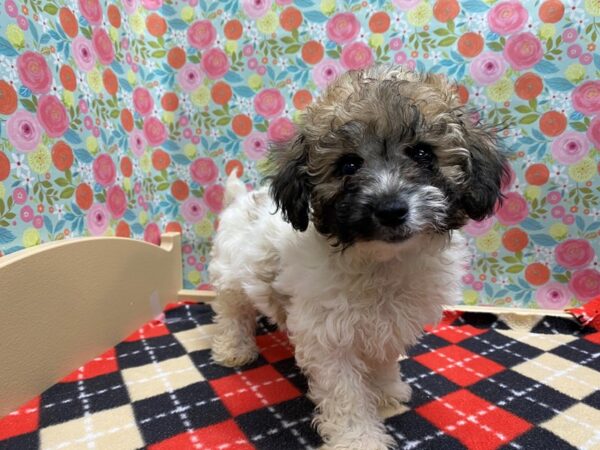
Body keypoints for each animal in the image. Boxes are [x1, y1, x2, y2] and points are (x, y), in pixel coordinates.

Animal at [209, 64, 508, 450]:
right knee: (232, 311)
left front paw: (385, 391)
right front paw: (358, 437)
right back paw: (234, 346)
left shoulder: (389, 323)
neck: (381, 262)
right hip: (231, 274)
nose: (390, 208)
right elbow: (345, 393)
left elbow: (382, 358)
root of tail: (239, 199)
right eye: (348, 164)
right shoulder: (326, 336)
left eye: (423, 154)